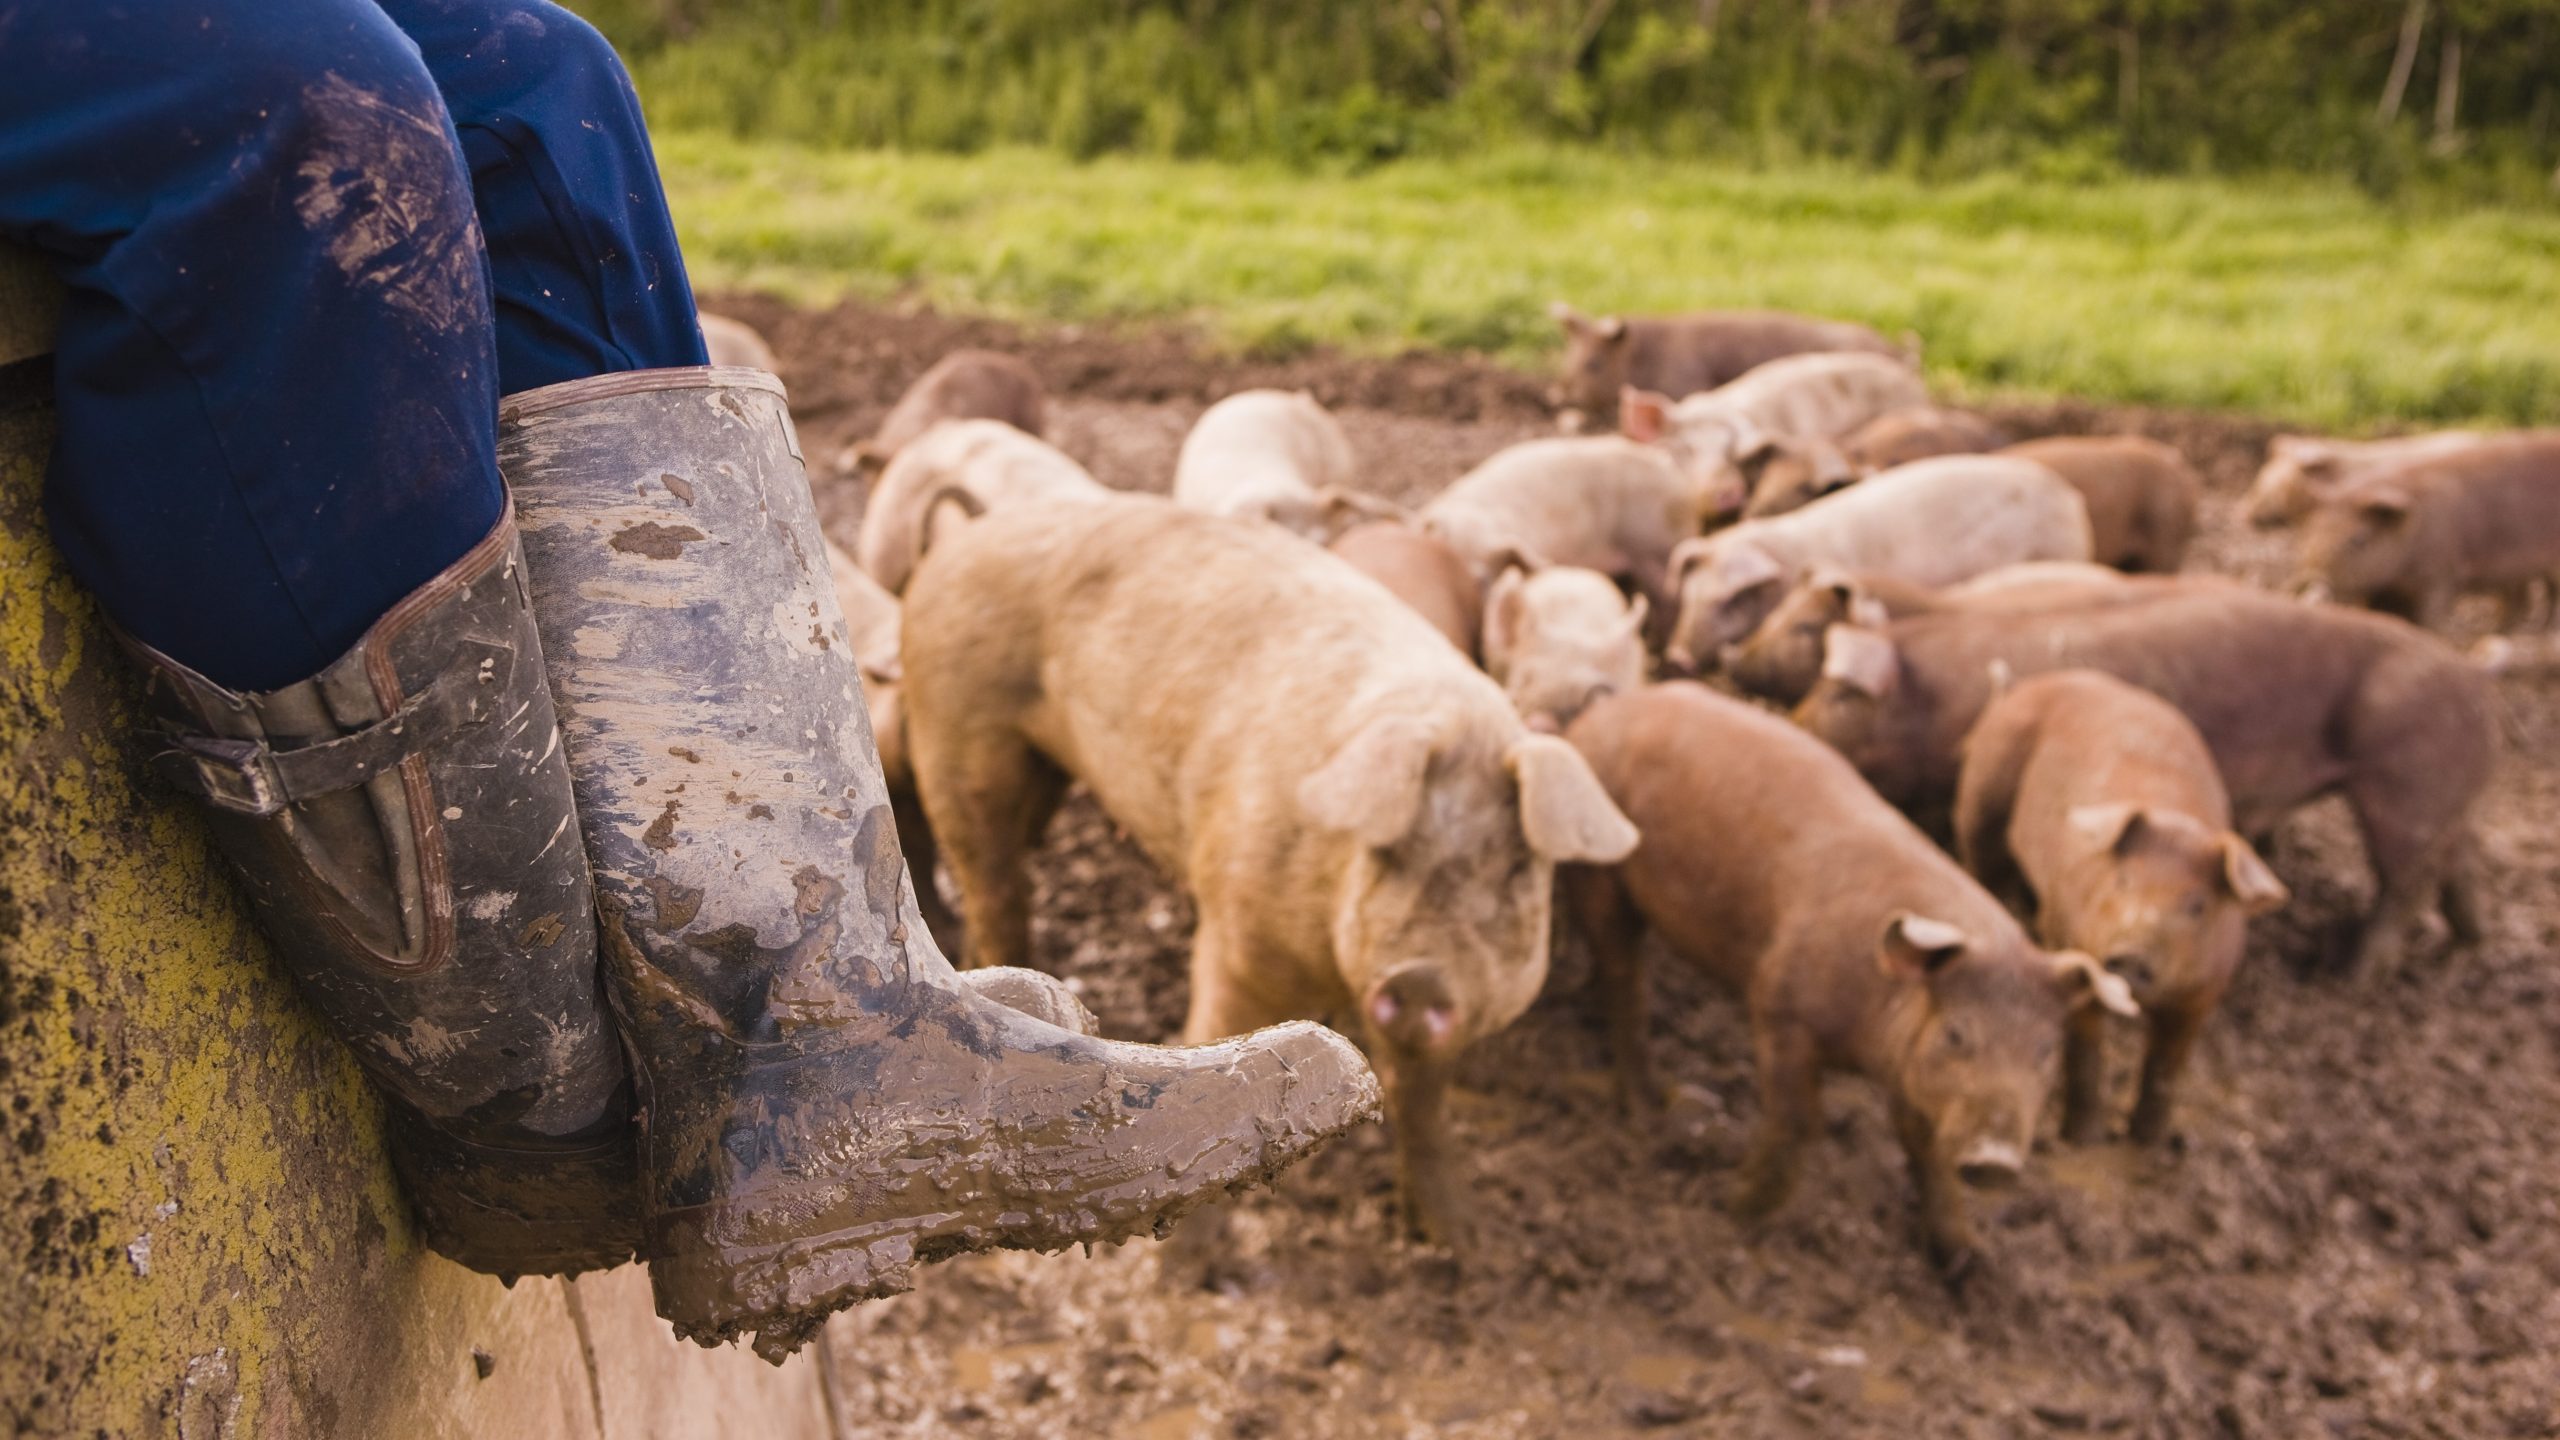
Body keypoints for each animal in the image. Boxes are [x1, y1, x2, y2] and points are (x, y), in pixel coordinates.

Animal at [1563, 682, 2136, 1273]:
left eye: (2046, 1050)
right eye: (1956, 1033)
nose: (1995, 1160)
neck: (1867, 1039)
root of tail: (1607, 708)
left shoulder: (1911, 1072)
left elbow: (1925, 1149)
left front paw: (1966, 1261)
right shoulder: (1778, 1004)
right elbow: (1798, 1120)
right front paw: (1733, 1207)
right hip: (1599, 871)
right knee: (1623, 975)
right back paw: (1646, 1111)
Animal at [1791, 587, 2495, 973]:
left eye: (1838, 694)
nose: (1792, 722)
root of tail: (2472, 678)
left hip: (2408, 784)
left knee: (2406, 884)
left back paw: (2338, 971)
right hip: (2440, 797)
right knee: (2458, 860)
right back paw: (2465, 941)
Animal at [1953, 672, 2290, 1144]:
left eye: (2197, 904)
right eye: (2123, 880)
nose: (2130, 953)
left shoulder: (2204, 994)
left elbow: (2166, 1069)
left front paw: (2148, 1144)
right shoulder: (2076, 946)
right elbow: (2085, 1055)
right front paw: (2081, 1141)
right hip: (1983, 795)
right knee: (1982, 864)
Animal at [2295, 436, 2560, 631]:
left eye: (2358, 540)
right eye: (2308, 533)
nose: (2310, 578)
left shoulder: (2441, 574)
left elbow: (2430, 617)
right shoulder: (2384, 590)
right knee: (2520, 596)